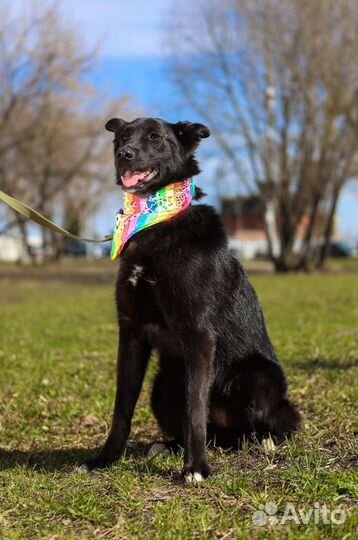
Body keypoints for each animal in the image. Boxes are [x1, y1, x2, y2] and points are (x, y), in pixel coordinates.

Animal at [85, 118, 300, 480]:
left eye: (155, 137)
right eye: (123, 136)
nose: (124, 154)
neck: (156, 223)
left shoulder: (198, 334)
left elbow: (195, 408)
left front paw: (196, 467)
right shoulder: (131, 333)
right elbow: (122, 408)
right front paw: (106, 458)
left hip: (257, 378)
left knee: (261, 427)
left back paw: (261, 443)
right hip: (163, 386)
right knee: (214, 432)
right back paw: (170, 446)